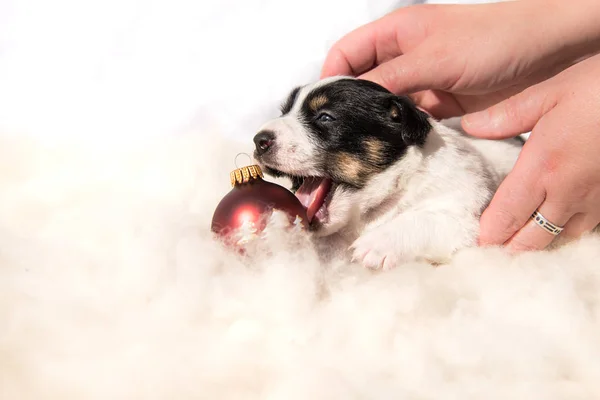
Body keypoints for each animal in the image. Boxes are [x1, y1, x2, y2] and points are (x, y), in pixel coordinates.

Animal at [251, 76, 524, 268]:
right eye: (284, 112)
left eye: (325, 117)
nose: (259, 140)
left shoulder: (463, 214)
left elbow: (425, 219)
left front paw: (378, 243)